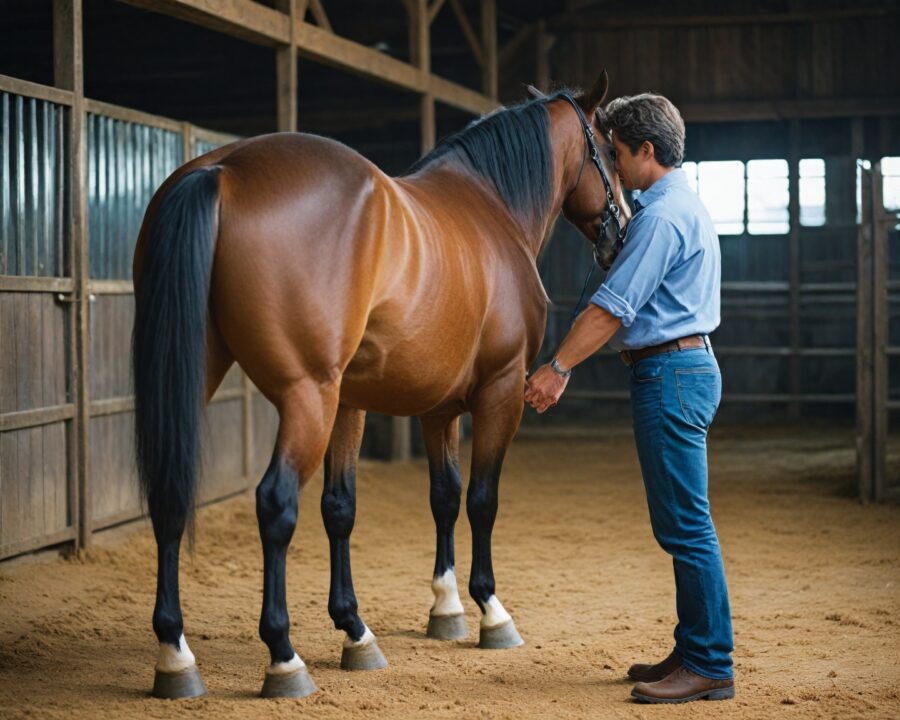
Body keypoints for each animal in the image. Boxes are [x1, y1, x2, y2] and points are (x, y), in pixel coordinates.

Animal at [132, 71, 629, 699]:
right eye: (609, 150)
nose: (622, 231)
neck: (493, 208)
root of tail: (220, 171)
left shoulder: (412, 407)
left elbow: (396, 501)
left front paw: (403, 618)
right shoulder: (499, 392)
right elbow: (482, 499)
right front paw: (490, 611)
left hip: (209, 379)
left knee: (170, 498)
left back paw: (176, 654)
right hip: (307, 397)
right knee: (275, 505)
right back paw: (283, 658)